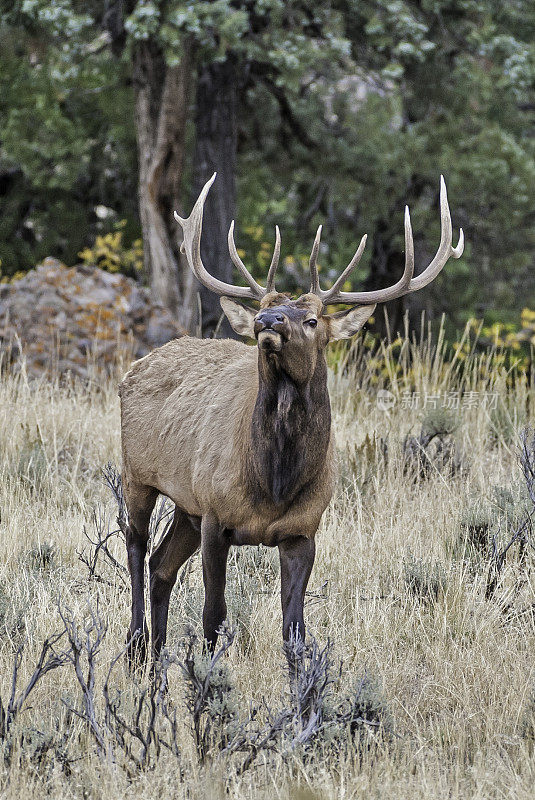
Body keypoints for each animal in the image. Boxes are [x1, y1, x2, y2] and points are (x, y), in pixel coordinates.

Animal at [119, 173, 462, 664]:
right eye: (267, 304)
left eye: (314, 319)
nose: (267, 319)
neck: (274, 482)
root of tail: (137, 366)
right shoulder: (215, 516)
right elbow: (213, 616)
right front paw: (207, 676)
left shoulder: (302, 530)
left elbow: (294, 631)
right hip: (137, 474)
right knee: (135, 548)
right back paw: (136, 646)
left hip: (185, 505)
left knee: (161, 565)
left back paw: (155, 661)